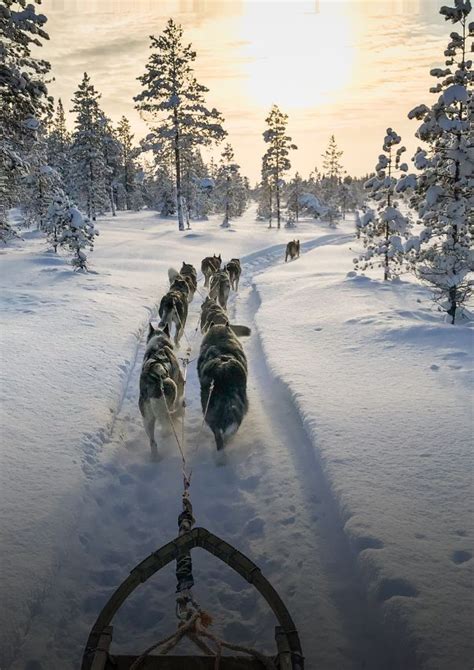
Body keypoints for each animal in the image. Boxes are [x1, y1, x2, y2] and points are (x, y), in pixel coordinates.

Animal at [138, 322, 184, 460]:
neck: (159, 344)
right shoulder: (180, 383)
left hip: (147, 420)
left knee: (152, 442)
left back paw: (155, 458)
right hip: (171, 388)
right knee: (167, 424)